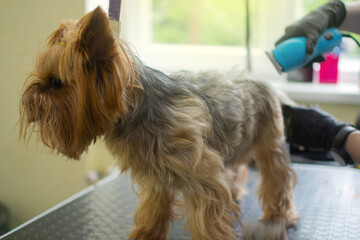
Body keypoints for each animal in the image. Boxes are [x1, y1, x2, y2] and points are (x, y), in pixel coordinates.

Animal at [21, 6, 300, 239]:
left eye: (55, 83)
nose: (27, 100)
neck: (137, 112)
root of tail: (262, 80)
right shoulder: (156, 177)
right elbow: (152, 211)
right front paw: (145, 234)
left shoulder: (204, 180)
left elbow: (209, 220)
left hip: (270, 140)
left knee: (277, 178)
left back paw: (279, 214)